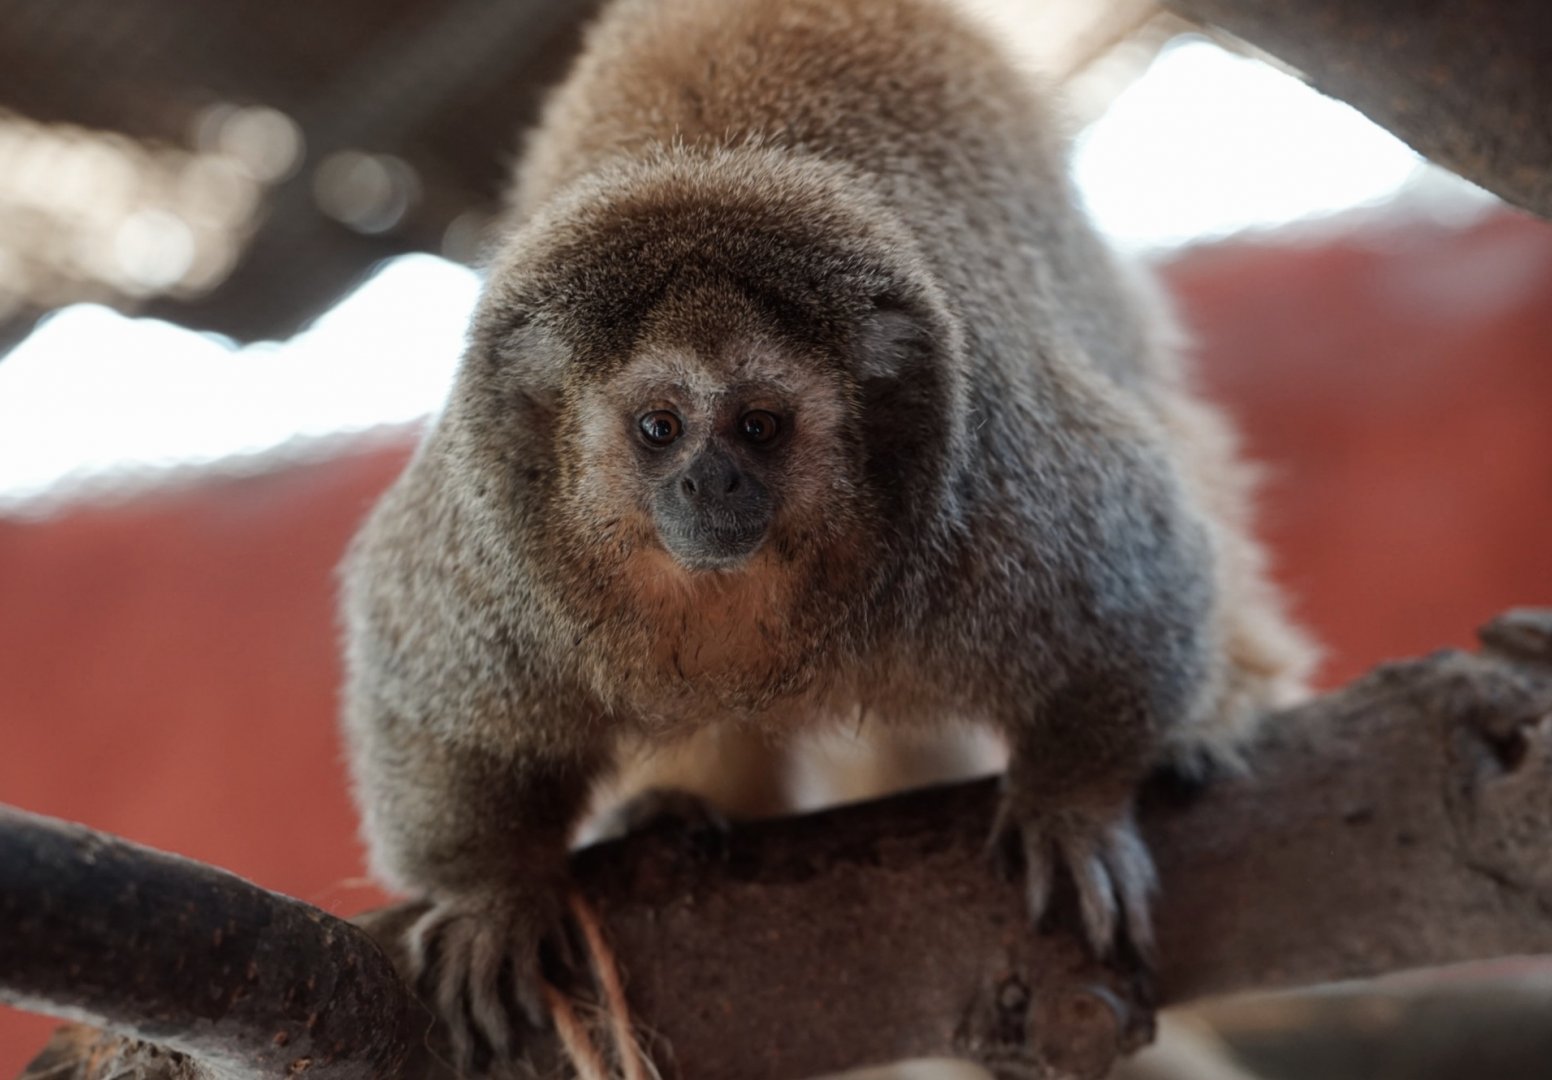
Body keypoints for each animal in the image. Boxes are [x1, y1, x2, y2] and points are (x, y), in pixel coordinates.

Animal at [339, 0, 1317, 1069]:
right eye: (660, 427)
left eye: (760, 426)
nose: (711, 481)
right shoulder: (491, 559)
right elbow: (431, 702)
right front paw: (494, 895)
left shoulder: (993, 495)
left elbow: (1141, 589)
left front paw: (1075, 808)